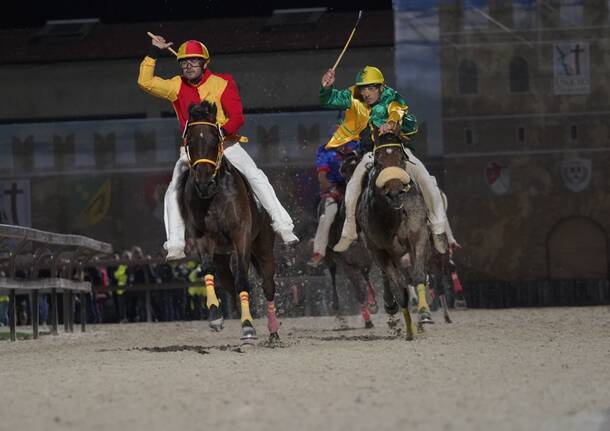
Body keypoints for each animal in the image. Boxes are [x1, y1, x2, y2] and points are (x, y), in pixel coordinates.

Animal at [177, 101, 280, 344]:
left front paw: (248, 327)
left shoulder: (241, 234)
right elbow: (208, 270)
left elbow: (243, 279)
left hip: (263, 247)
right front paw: (215, 316)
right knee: (228, 281)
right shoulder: (203, 236)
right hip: (223, 257)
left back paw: (273, 330)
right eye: (190, 141)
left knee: (268, 285)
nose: (204, 183)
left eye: (215, 139)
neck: (214, 196)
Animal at [354, 132, 430, 340]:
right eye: (377, 162)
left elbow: (418, 275)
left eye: (402, 158)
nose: (395, 193)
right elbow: (398, 287)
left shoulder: (418, 234)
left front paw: (424, 314)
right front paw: (409, 329)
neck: (393, 217)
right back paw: (391, 306)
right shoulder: (379, 250)